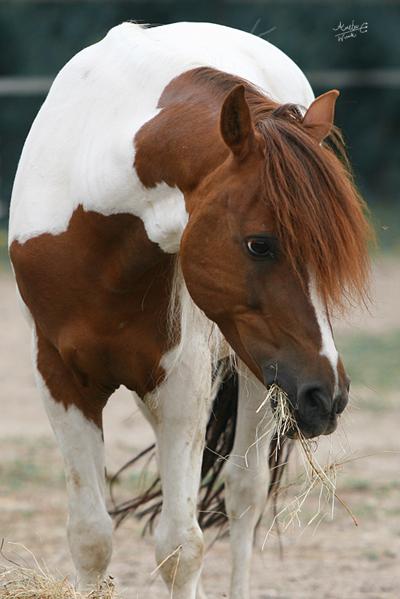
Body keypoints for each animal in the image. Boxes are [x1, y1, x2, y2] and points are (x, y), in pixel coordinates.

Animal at [7, 21, 370, 599]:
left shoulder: (181, 389)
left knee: (245, 495)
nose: (328, 397)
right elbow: (90, 538)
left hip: (260, 375)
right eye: (260, 244)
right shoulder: (60, 381)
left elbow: (181, 547)